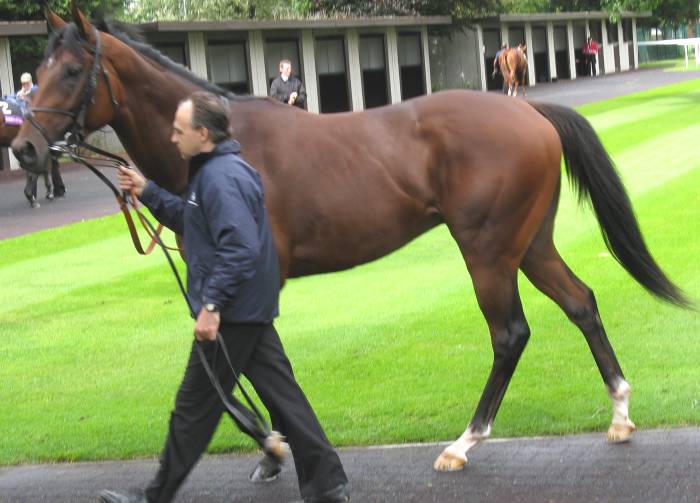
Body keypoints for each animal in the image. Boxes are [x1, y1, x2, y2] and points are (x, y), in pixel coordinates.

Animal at [12, 6, 689, 473]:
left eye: (71, 71)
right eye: (35, 72)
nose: (23, 149)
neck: (224, 144)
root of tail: (529, 110)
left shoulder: (254, 276)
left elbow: (241, 362)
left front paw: (274, 443)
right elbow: (248, 361)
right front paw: (273, 444)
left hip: (489, 250)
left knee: (510, 334)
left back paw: (465, 441)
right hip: (531, 244)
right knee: (580, 302)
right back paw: (620, 412)